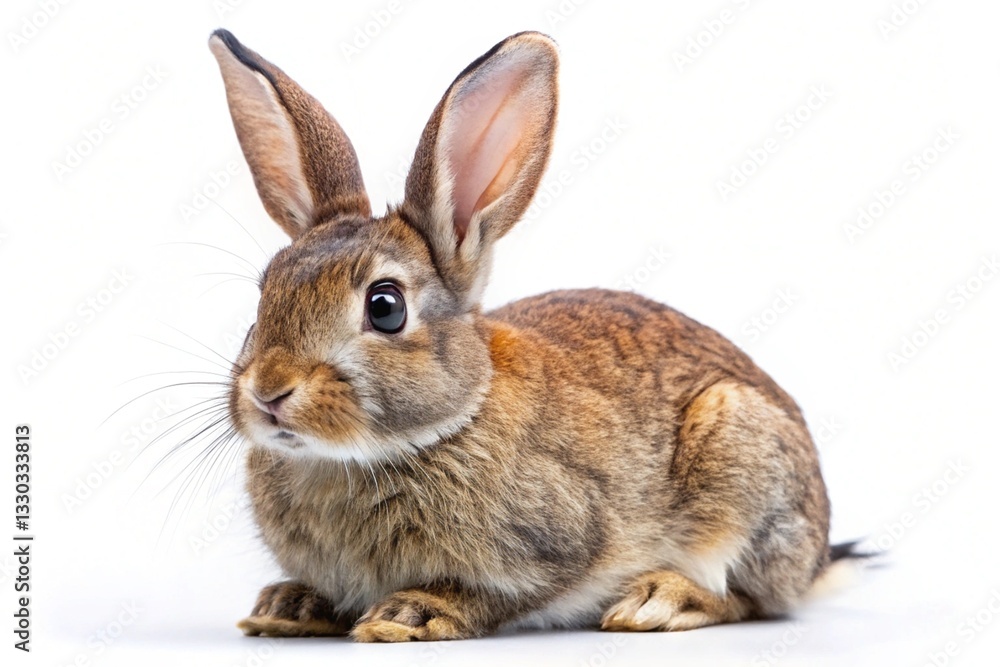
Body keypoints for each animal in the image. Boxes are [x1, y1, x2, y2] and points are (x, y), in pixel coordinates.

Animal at [207, 28, 845, 642]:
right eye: (264, 295)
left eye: (385, 308)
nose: (269, 392)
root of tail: (819, 553)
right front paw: (287, 606)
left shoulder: (564, 541)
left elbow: (505, 595)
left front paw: (410, 615)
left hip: (740, 459)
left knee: (748, 596)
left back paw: (658, 601)